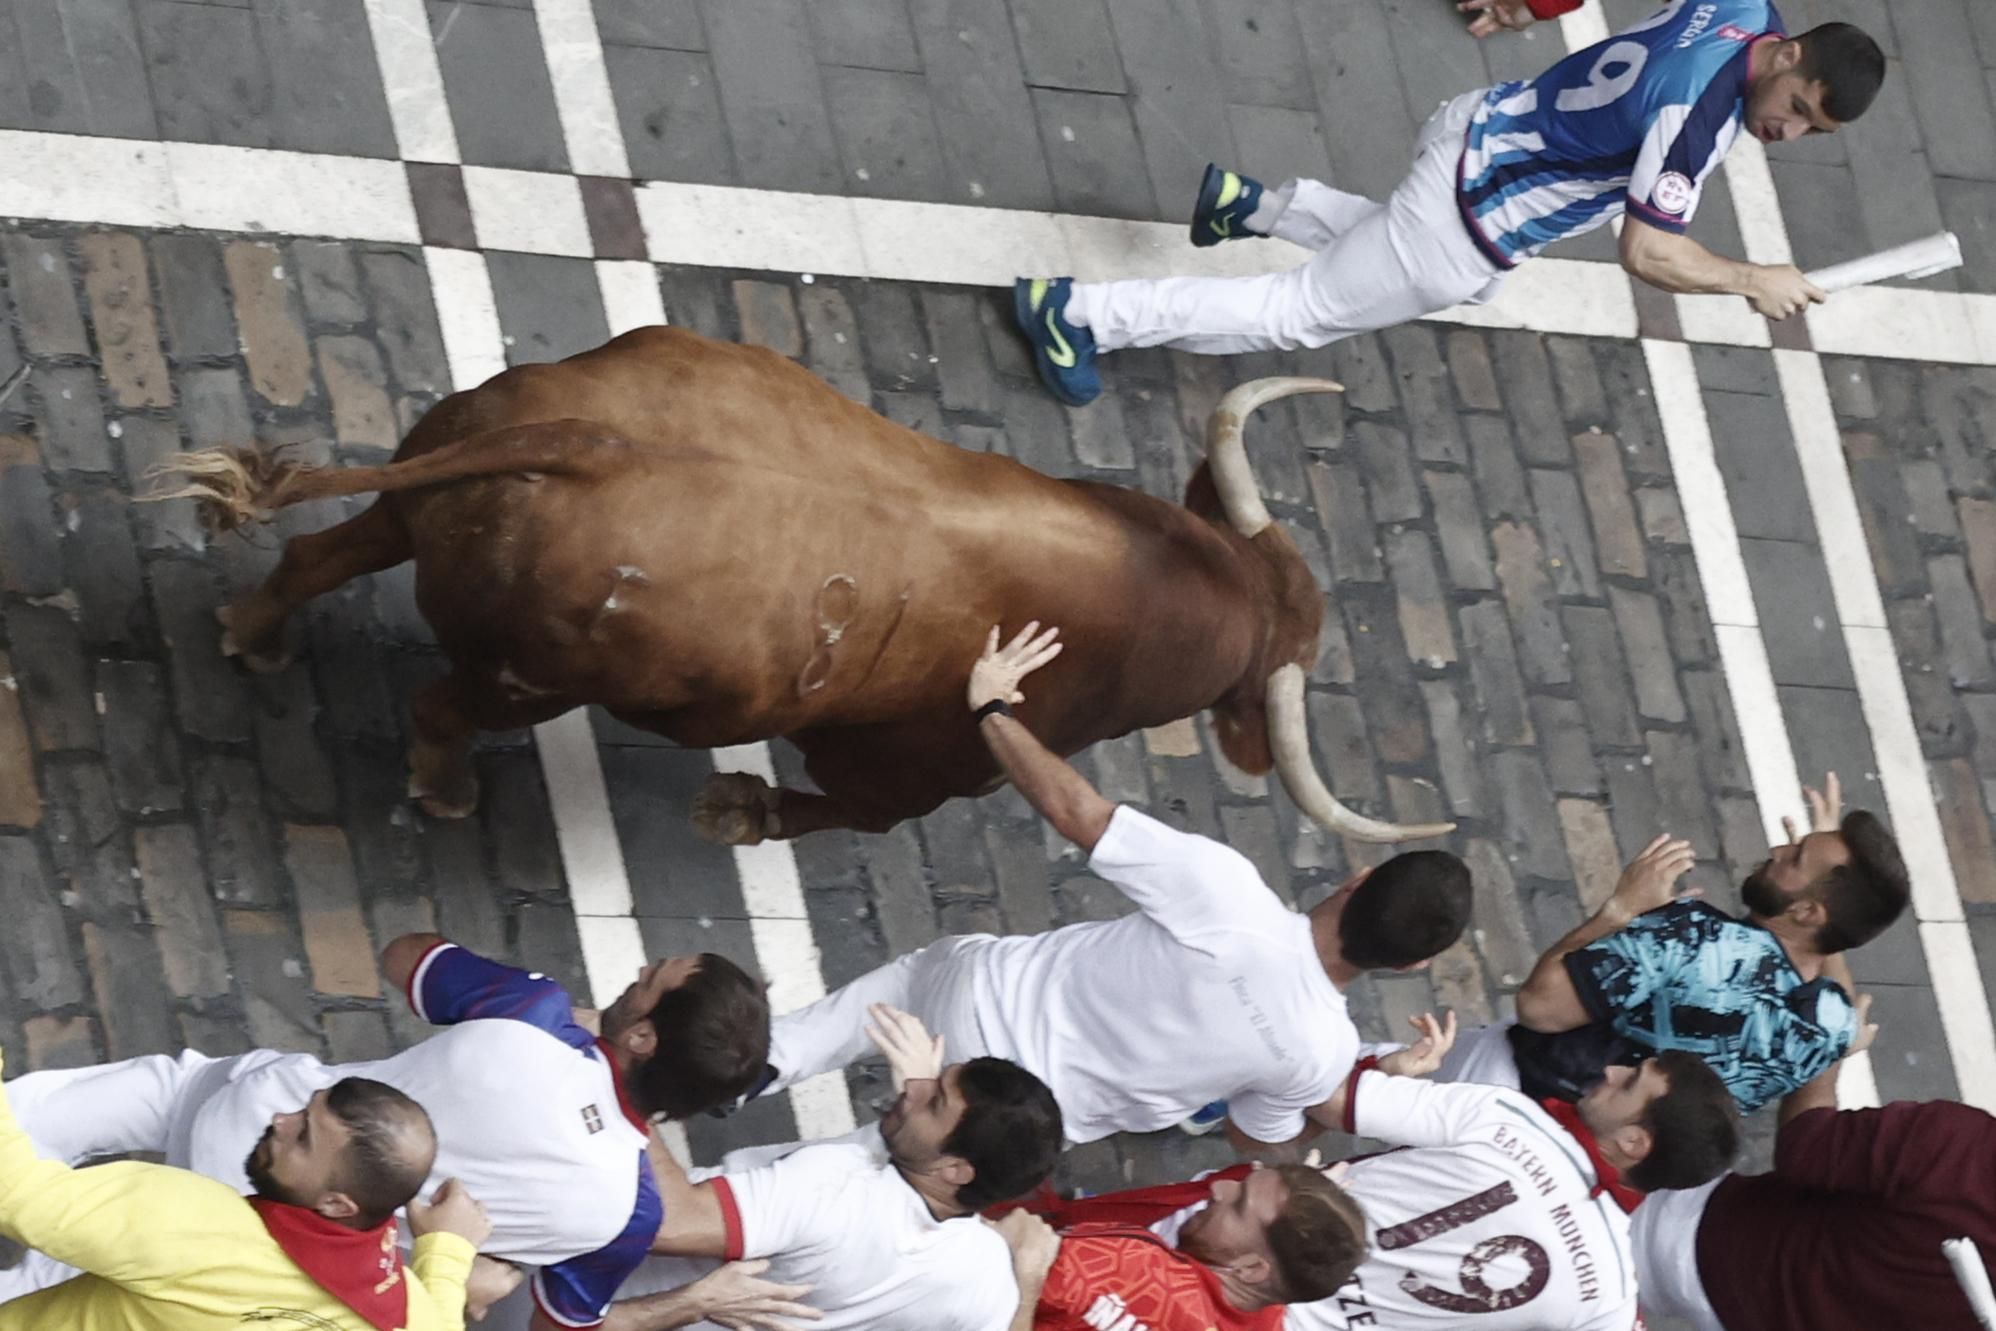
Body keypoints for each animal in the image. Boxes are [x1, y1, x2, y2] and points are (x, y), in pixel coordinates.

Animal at [163, 323, 1453, 842]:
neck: (1178, 588)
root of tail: (592, 443)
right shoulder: (925, 773)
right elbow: (850, 811)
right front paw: (739, 809)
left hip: (426, 496)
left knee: (319, 554)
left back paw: (251, 633)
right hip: (530, 675)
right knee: (441, 704)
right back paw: (442, 789)